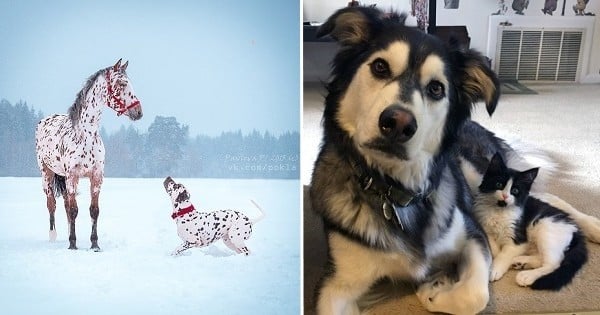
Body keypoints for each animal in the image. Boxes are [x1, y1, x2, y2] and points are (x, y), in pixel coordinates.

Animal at [35, 59, 143, 252]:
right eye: (121, 83)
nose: (138, 112)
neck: (86, 135)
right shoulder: (72, 176)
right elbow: (73, 210)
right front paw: (73, 244)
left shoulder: (96, 176)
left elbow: (93, 210)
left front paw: (94, 244)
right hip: (47, 174)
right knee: (52, 204)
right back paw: (53, 236)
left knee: (65, 204)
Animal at [474, 153, 584, 292]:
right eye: (499, 184)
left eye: (515, 191)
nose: (505, 196)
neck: (500, 210)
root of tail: (575, 228)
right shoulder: (485, 227)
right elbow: (493, 246)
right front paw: (496, 255)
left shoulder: (518, 239)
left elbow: (504, 253)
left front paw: (495, 268)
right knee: (542, 258)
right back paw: (520, 262)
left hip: (546, 228)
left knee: (553, 263)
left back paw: (527, 276)